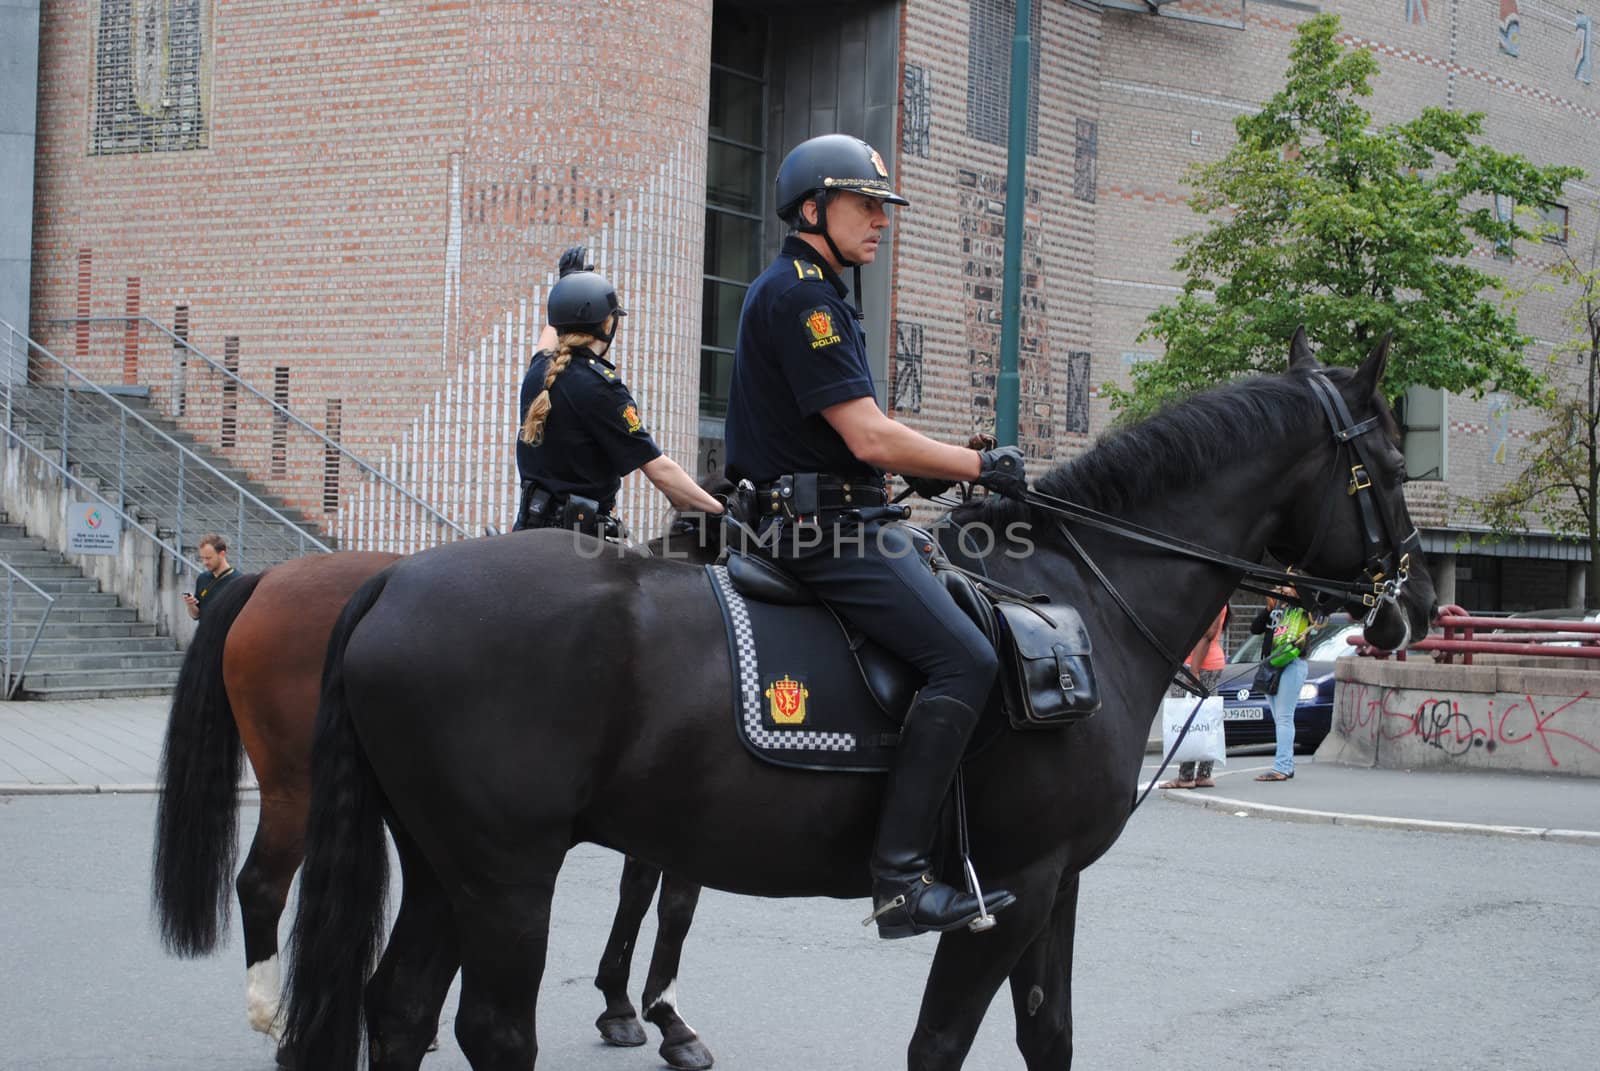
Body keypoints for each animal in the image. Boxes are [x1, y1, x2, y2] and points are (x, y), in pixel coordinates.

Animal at [152, 525, 723, 1069]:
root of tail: (266, 578)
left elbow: (644, 897)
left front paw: (629, 1008)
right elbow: (668, 905)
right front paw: (659, 1017)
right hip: (299, 788)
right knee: (261, 885)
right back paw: (282, 1023)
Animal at [278, 329, 1440, 1062]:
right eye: (1387, 464)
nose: (1416, 606)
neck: (1081, 597)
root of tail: (390, 580)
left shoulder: (1055, 881)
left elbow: (1048, 1036)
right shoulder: (1009, 887)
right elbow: (940, 1041)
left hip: (445, 867)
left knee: (399, 1012)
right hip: (507, 873)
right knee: (489, 1030)